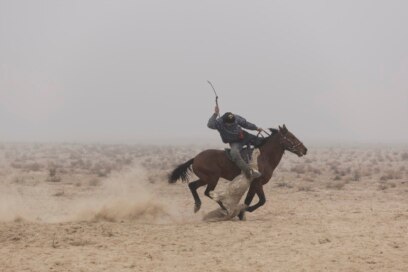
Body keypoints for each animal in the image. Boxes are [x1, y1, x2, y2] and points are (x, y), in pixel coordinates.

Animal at [168, 124, 306, 218]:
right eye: (291, 137)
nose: (305, 150)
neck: (263, 156)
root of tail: (195, 158)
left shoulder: (253, 185)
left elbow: (248, 200)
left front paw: (241, 214)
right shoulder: (257, 183)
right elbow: (261, 201)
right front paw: (243, 211)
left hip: (205, 179)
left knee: (192, 186)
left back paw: (198, 205)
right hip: (212, 178)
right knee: (208, 192)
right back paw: (225, 208)